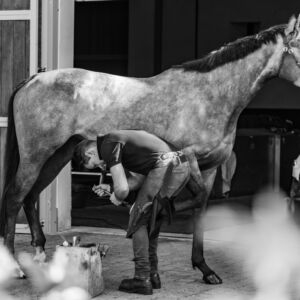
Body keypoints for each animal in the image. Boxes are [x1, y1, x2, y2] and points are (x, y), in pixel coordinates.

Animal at [1, 14, 300, 284]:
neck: (208, 97)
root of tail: (33, 79)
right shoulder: (184, 161)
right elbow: (180, 203)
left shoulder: (210, 168)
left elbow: (200, 206)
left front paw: (204, 268)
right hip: (35, 156)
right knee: (14, 198)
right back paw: (15, 267)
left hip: (57, 155)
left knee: (30, 196)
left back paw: (40, 256)